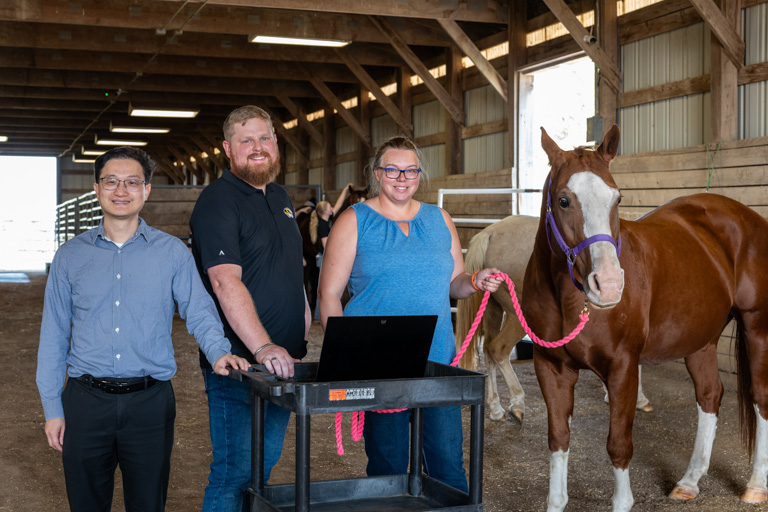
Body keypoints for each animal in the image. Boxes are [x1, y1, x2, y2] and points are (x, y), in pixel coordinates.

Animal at [456, 214, 656, 422]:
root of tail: (490, 232)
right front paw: (638, 398)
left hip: (492, 309)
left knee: (488, 351)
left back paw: (496, 408)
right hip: (516, 318)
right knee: (498, 349)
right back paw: (517, 402)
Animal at [524, 125, 768, 512]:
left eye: (617, 198)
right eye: (563, 200)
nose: (608, 285)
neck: (568, 298)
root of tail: (747, 216)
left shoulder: (623, 367)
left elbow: (619, 445)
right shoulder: (551, 368)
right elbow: (559, 440)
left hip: (756, 325)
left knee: (760, 398)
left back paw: (756, 485)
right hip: (701, 340)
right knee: (710, 395)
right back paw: (689, 481)